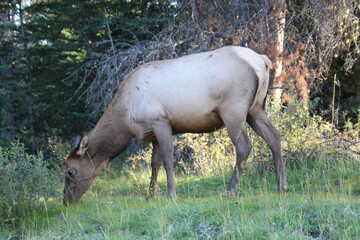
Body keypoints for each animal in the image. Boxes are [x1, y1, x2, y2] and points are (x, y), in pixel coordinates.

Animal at [63, 46, 288, 203]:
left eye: (70, 171)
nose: (66, 200)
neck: (127, 118)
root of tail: (263, 60)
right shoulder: (152, 132)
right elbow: (154, 163)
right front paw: (151, 195)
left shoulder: (161, 121)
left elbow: (168, 160)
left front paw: (171, 194)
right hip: (256, 109)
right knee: (275, 137)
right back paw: (281, 186)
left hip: (233, 109)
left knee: (244, 147)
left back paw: (230, 191)